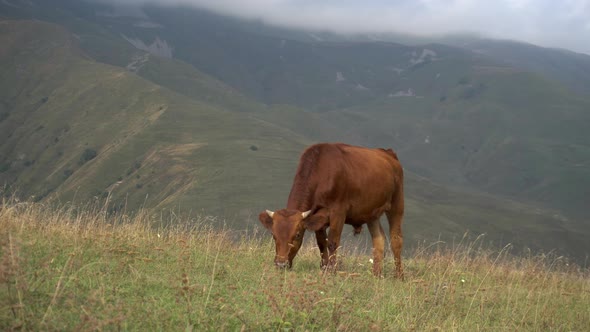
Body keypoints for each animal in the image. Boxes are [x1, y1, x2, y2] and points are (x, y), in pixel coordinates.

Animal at [260, 143, 408, 278]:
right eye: (273, 235)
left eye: (297, 235)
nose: (281, 264)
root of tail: (388, 153)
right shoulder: (317, 216)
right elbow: (321, 243)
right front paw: (324, 268)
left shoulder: (338, 212)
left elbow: (332, 242)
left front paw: (332, 270)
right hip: (372, 213)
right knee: (379, 239)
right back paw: (376, 274)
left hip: (397, 203)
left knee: (396, 239)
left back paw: (399, 275)